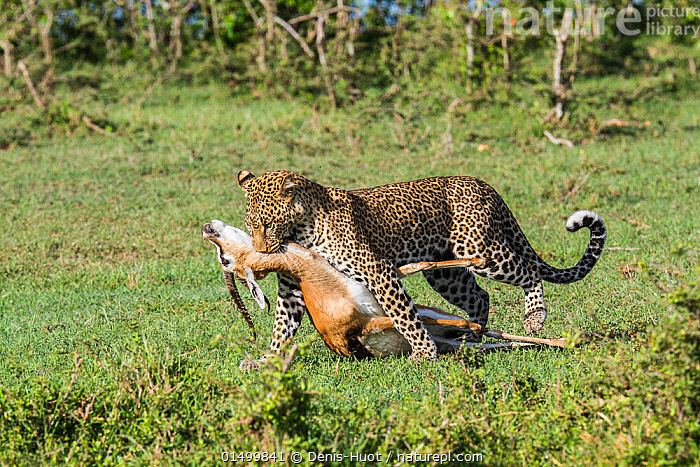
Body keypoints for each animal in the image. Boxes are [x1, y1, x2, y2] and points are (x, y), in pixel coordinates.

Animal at [237, 169, 606, 361]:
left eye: (267, 223)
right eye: (249, 224)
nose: (262, 250)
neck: (303, 228)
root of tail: (483, 184)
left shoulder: (378, 270)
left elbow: (404, 316)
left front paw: (424, 353)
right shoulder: (293, 285)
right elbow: (282, 324)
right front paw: (268, 360)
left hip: (484, 250)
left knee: (528, 273)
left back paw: (533, 318)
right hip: (445, 273)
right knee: (480, 296)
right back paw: (472, 333)